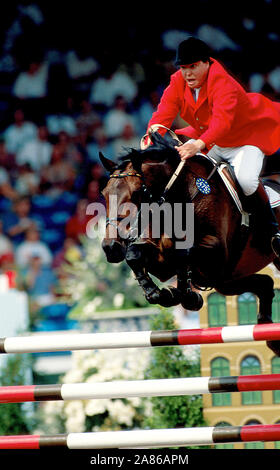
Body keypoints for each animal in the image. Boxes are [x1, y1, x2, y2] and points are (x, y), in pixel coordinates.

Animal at [100, 130, 280, 354]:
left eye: (136, 193)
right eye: (104, 194)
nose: (110, 248)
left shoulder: (216, 253)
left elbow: (182, 253)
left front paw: (181, 293)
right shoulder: (165, 263)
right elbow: (135, 255)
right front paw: (160, 293)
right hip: (226, 282)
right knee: (265, 284)